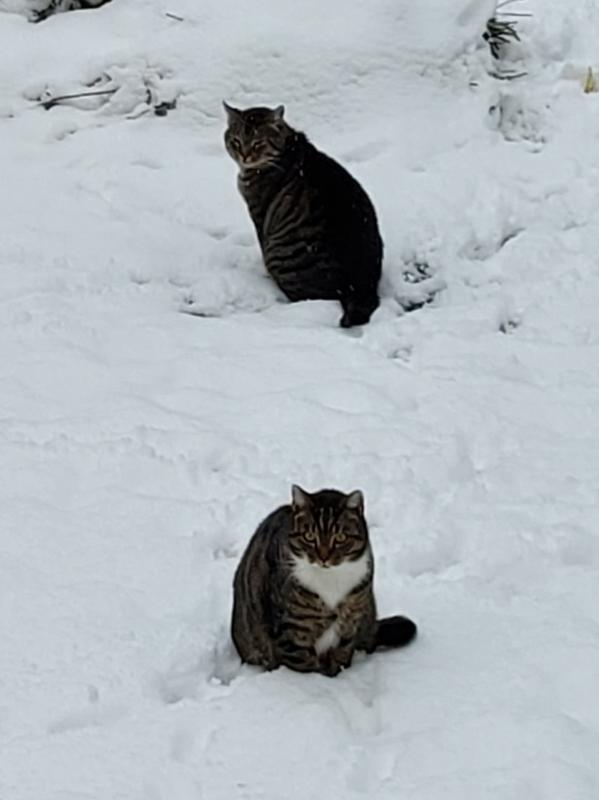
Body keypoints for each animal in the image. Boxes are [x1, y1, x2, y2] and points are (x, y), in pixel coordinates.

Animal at [223, 104, 383, 328]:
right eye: (236, 142)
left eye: (257, 144)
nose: (244, 156)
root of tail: (363, 286)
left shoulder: (259, 215)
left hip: (282, 257)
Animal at [231, 485, 417, 677]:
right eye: (309, 536)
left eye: (341, 537)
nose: (324, 557)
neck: (330, 577)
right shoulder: (293, 630)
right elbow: (304, 666)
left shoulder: (351, 621)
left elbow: (341, 654)